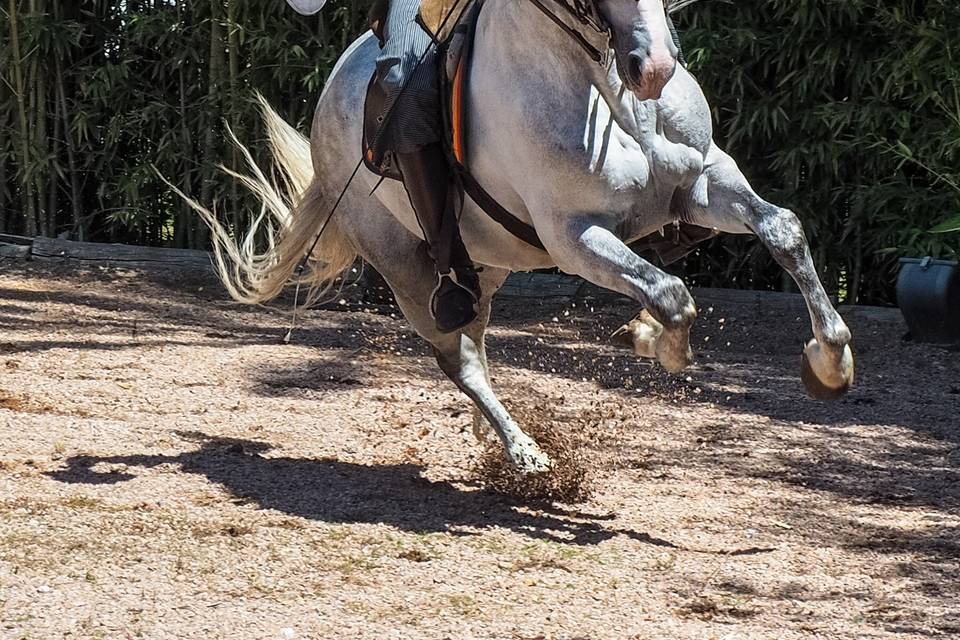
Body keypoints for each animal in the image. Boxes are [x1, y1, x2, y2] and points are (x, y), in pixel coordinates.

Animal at [180, 0, 856, 470]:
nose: (654, 68)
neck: (600, 83)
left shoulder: (704, 178)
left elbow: (783, 230)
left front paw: (830, 360)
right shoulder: (573, 235)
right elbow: (670, 293)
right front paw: (655, 342)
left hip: (489, 262)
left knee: (475, 342)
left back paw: (504, 436)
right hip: (410, 270)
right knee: (460, 358)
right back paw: (523, 451)